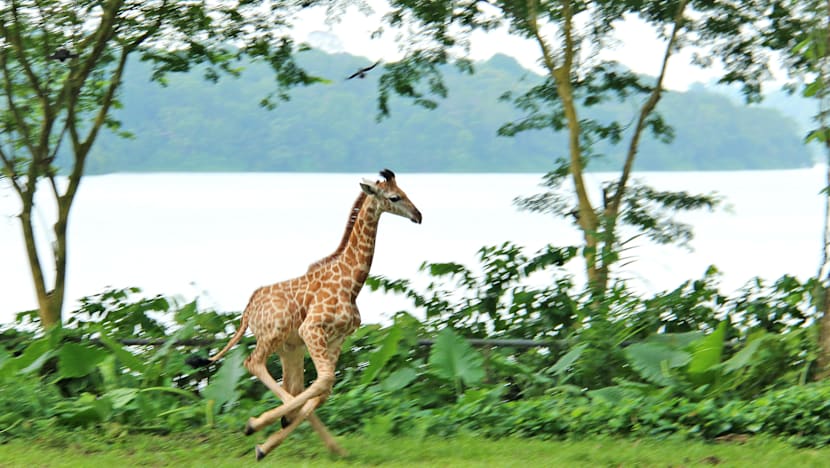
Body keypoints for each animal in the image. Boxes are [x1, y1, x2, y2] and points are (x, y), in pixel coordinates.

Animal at [201, 169, 422, 461]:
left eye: (406, 192)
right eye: (394, 197)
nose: (418, 215)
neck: (352, 283)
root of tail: (247, 311)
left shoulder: (337, 338)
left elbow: (324, 388)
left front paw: (272, 440)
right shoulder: (312, 329)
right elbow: (324, 381)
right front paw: (260, 425)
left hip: (290, 347)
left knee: (293, 387)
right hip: (276, 333)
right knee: (254, 363)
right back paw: (262, 424)